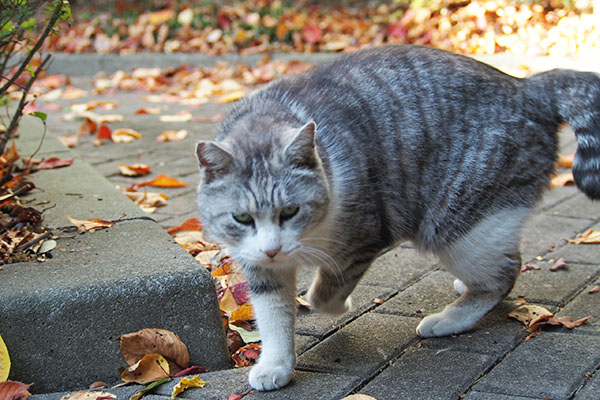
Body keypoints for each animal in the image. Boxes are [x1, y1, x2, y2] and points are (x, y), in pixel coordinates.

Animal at [195, 44, 596, 390]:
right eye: (242, 218)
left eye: (290, 211)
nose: (273, 250)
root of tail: (525, 86)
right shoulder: (259, 267)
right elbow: (273, 316)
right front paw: (276, 365)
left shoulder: (363, 237)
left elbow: (326, 292)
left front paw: (335, 302)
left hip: (457, 228)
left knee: (504, 274)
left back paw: (449, 319)